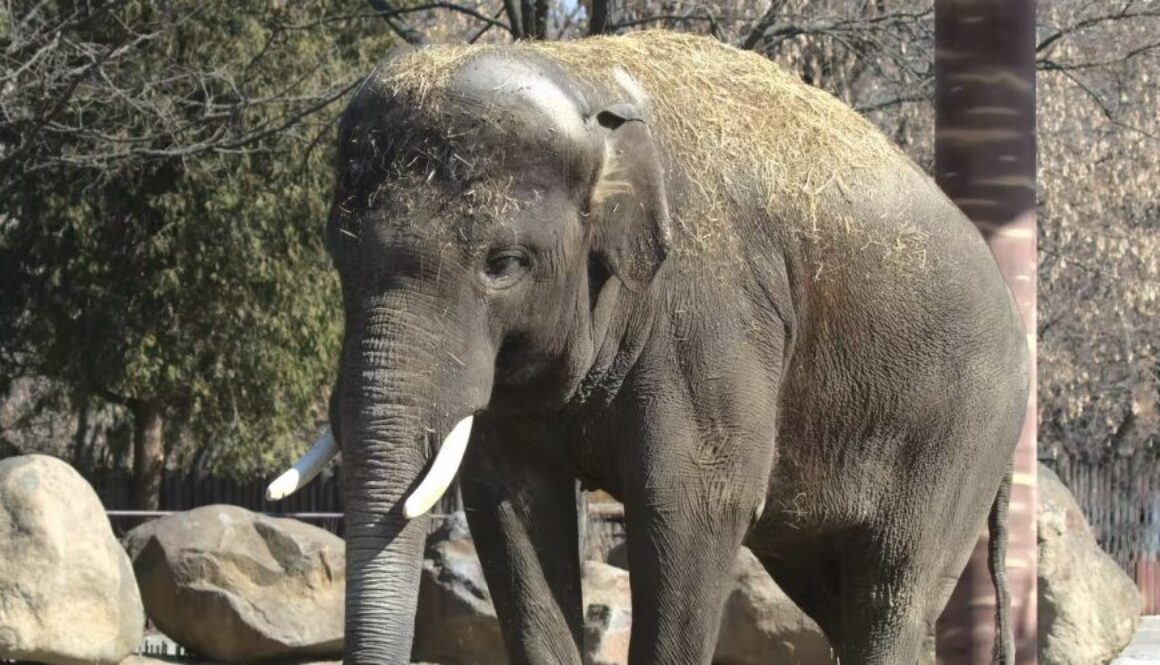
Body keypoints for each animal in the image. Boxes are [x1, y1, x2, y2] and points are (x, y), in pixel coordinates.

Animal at [269, 30, 1029, 665]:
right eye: (339, 253)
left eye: (504, 264)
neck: (586, 82)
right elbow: (511, 501)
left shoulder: (711, 309)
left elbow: (692, 499)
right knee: (832, 591)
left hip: (960, 434)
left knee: (892, 585)